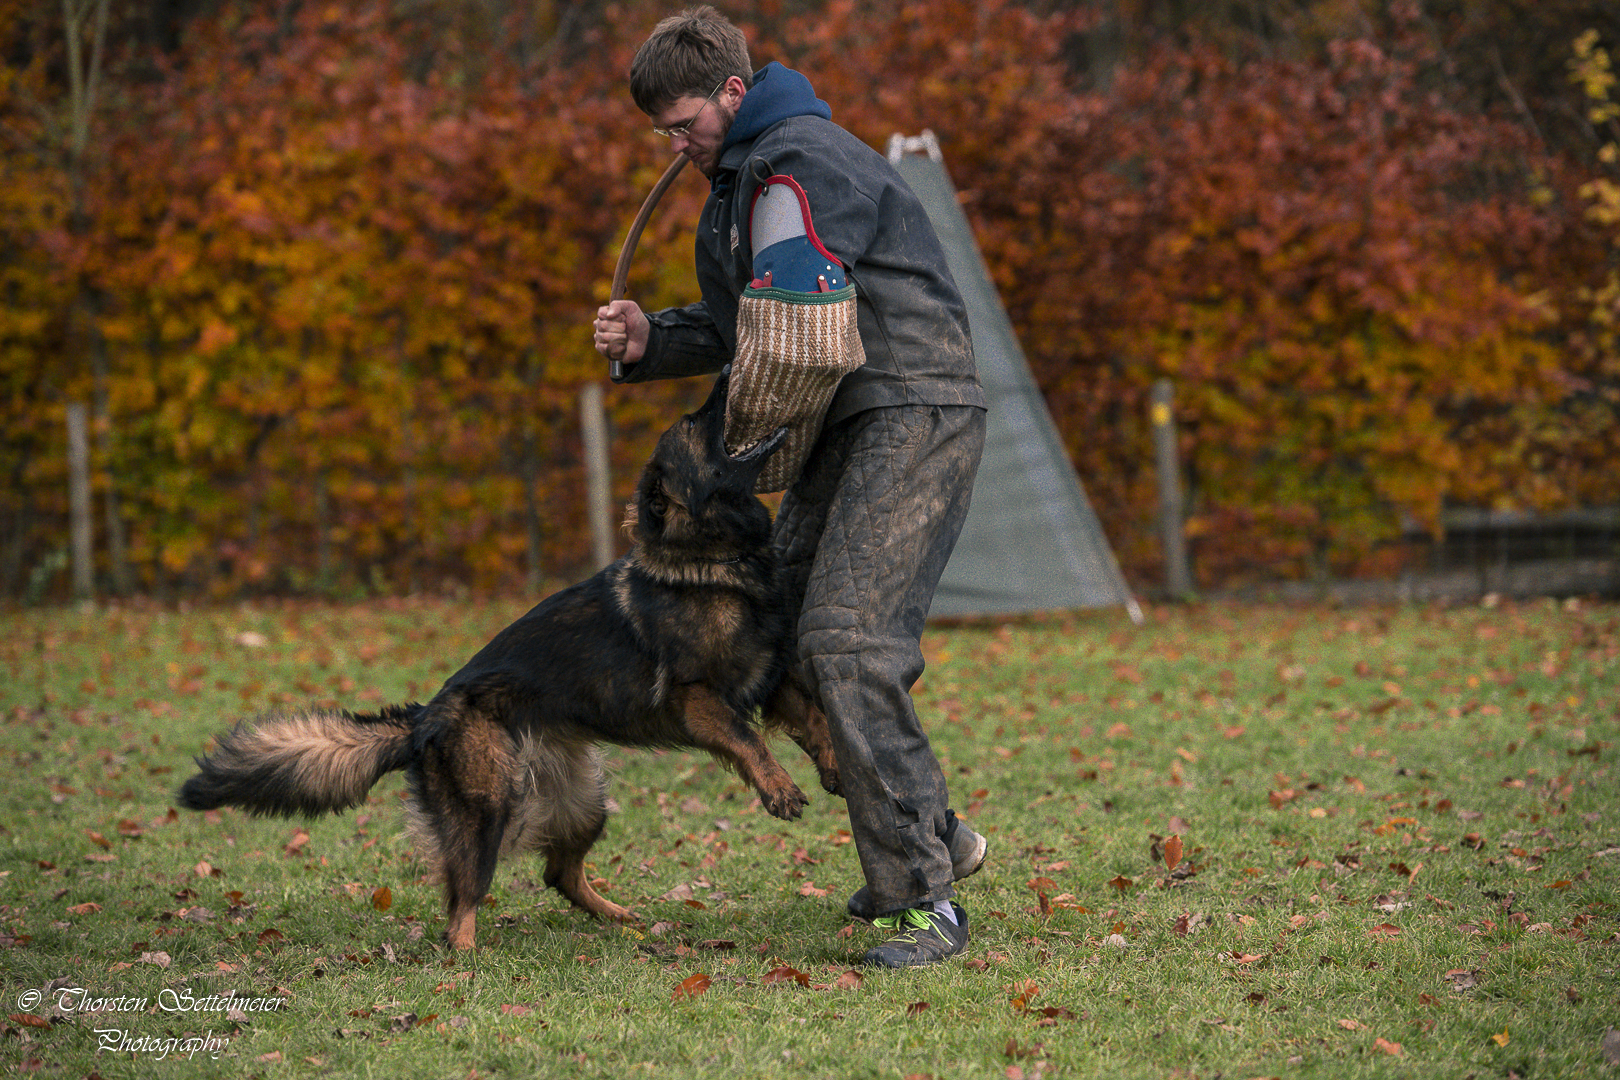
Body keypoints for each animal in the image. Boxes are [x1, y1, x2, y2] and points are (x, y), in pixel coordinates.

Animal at [178, 370, 840, 949]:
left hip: (583, 802)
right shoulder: (699, 698)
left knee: (558, 874)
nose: (726, 373)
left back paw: (622, 918)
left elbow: (816, 718)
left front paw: (833, 765)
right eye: (697, 426)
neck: (714, 561)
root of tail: (425, 718)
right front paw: (780, 789)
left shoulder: (770, 679)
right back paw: (468, 956)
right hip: (488, 805)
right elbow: (748, 740)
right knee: (463, 898)